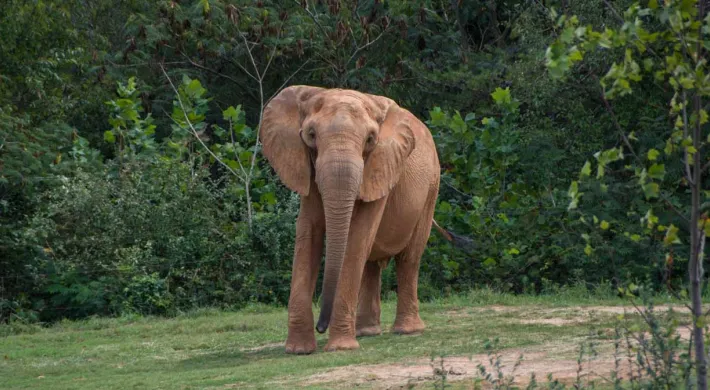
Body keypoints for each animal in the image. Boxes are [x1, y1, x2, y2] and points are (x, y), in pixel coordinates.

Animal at [258, 85, 470, 354]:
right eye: (311, 135)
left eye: (370, 139)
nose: (321, 327)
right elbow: (309, 235)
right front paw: (298, 350)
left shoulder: (382, 166)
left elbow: (357, 236)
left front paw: (341, 348)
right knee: (371, 263)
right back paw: (367, 332)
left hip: (431, 188)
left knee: (408, 259)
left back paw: (407, 331)